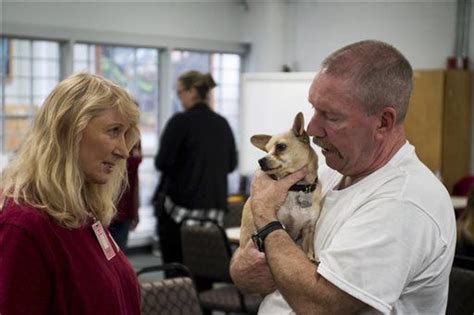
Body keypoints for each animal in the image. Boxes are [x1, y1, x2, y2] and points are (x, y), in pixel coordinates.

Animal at [241, 112, 322, 260]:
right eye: (266, 151)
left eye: (281, 147)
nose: (260, 161)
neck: (298, 187)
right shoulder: (284, 227)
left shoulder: (308, 230)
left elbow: (308, 251)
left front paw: (311, 258)